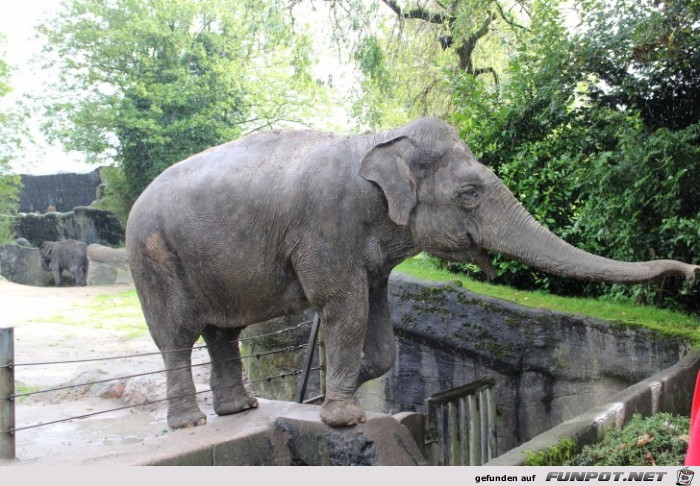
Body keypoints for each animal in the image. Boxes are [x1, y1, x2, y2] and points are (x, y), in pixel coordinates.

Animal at [127, 117, 700, 430]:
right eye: (469, 193)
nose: (691, 271)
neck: (379, 139)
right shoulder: (327, 229)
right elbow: (344, 309)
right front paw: (343, 416)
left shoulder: (368, 252)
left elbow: (380, 326)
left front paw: (345, 386)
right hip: (153, 260)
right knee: (176, 336)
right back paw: (193, 422)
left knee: (223, 333)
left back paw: (240, 409)